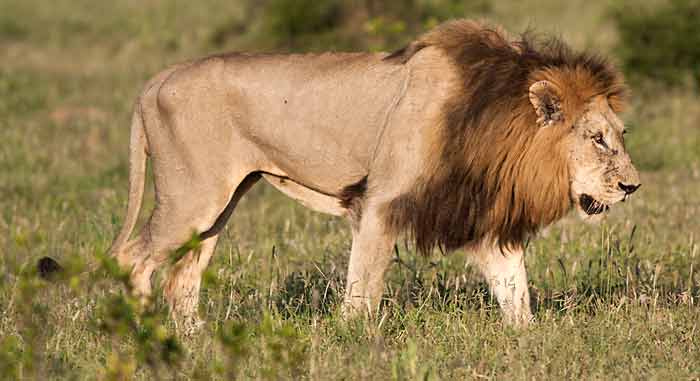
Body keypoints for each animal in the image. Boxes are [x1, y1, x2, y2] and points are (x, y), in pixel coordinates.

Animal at [39, 19, 640, 326]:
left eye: (621, 134)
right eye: (596, 138)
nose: (631, 186)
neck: (492, 121)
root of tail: (157, 79)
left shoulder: (477, 215)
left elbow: (516, 292)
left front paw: (526, 344)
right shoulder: (382, 202)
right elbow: (362, 290)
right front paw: (354, 343)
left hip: (217, 206)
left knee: (182, 279)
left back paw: (190, 341)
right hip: (191, 198)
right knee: (133, 259)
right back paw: (144, 337)